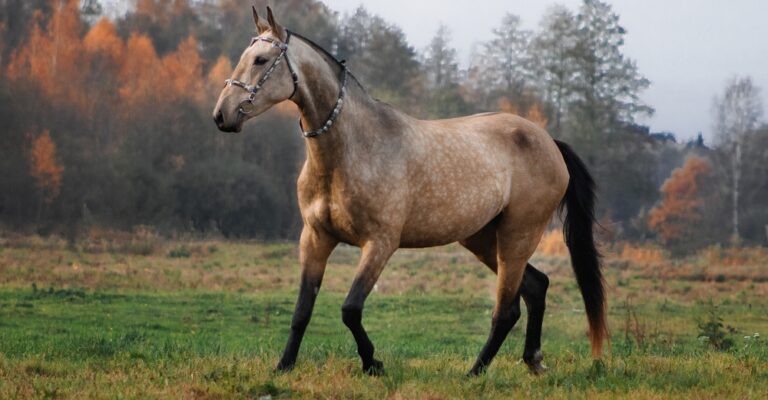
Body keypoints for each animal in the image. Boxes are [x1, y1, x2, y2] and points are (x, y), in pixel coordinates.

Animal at [213, 7, 607, 376]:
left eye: (261, 60)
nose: (222, 115)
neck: (350, 151)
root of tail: (550, 142)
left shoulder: (380, 244)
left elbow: (350, 309)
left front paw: (373, 363)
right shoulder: (315, 238)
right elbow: (301, 311)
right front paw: (284, 366)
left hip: (517, 236)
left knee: (506, 309)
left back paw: (474, 372)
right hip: (483, 238)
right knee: (535, 287)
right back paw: (532, 360)